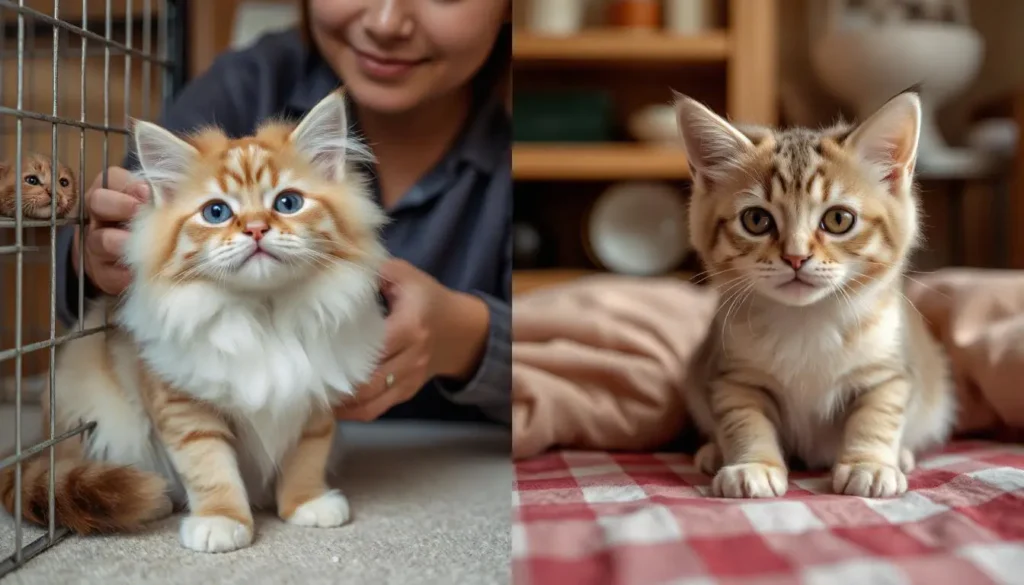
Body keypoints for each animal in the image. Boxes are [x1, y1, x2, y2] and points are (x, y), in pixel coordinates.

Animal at [0, 90, 387, 553]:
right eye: (216, 212)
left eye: (288, 203)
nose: (256, 229)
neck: (264, 314)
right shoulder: (184, 403)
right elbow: (210, 467)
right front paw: (221, 521)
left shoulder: (315, 399)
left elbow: (306, 458)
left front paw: (305, 504)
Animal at [675, 90, 954, 499]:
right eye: (756, 220)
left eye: (838, 219)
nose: (795, 256)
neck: (807, 320)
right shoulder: (733, 376)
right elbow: (744, 421)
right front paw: (752, 465)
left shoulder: (887, 372)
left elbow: (877, 416)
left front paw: (869, 464)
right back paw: (712, 452)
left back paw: (901, 456)